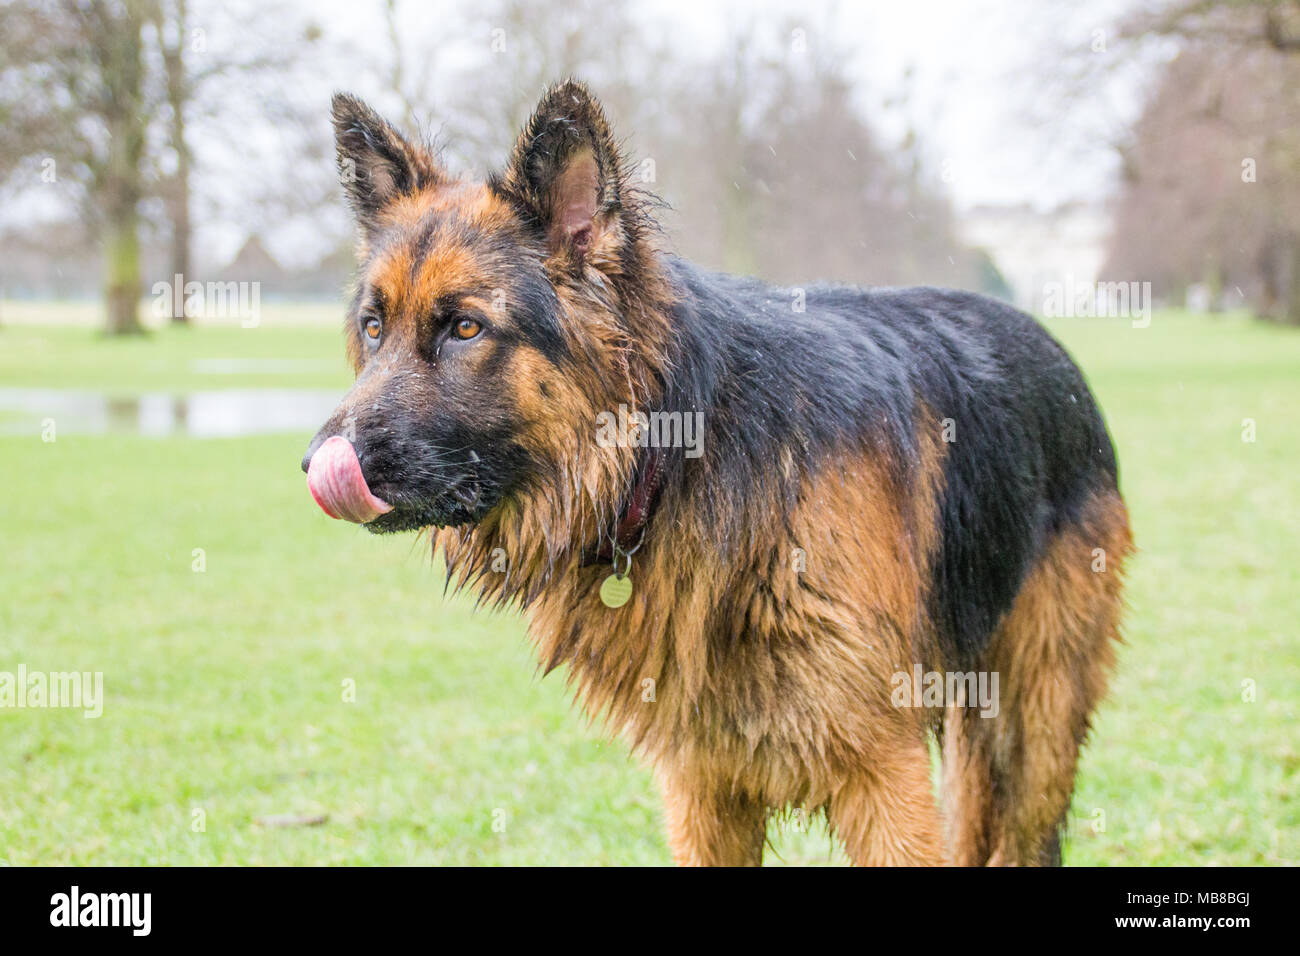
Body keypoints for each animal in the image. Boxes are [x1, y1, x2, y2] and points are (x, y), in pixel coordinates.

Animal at [301, 78, 1128, 863]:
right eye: (374, 328)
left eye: (467, 328)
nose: (314, 464)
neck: (674, 459)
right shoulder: (702, 786)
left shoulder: (883, 774)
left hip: (1035, 727)